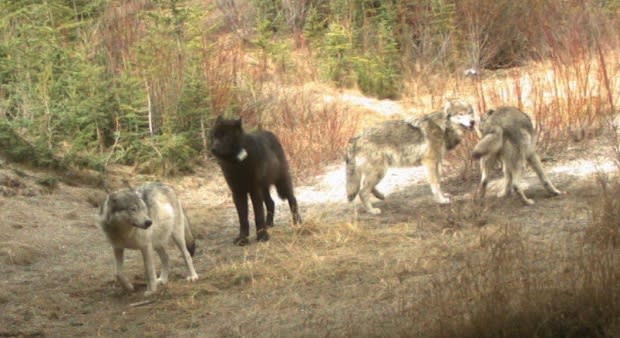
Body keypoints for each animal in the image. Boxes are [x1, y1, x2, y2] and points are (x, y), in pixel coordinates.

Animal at [211, 116, 302, 246]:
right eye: (214, 136)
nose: (213, 149)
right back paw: (269, 224)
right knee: (271, 203)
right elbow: (243, 219)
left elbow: (258, 215)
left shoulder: (254, 191)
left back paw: (297, 222)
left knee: (292, 199)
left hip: (281, 185)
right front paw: (242, 238)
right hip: (264, 190)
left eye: (225, 136)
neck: (238, 163)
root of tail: (271, 134)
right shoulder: (238, 193)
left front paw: (262, 236)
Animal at [344, 98, 474, 214]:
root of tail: (356, 138)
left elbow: (439, 181)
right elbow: (435, 183)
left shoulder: (437, 162)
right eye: (461, 114)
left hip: (379, 171)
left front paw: (443, 195)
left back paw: (380, 196)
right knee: (362, 192)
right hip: (380, 170)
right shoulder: (430, 162)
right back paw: (372, 211)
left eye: (470, 113)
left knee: (367, 188)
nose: (473, 122)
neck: (443, 127)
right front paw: (441, 200)